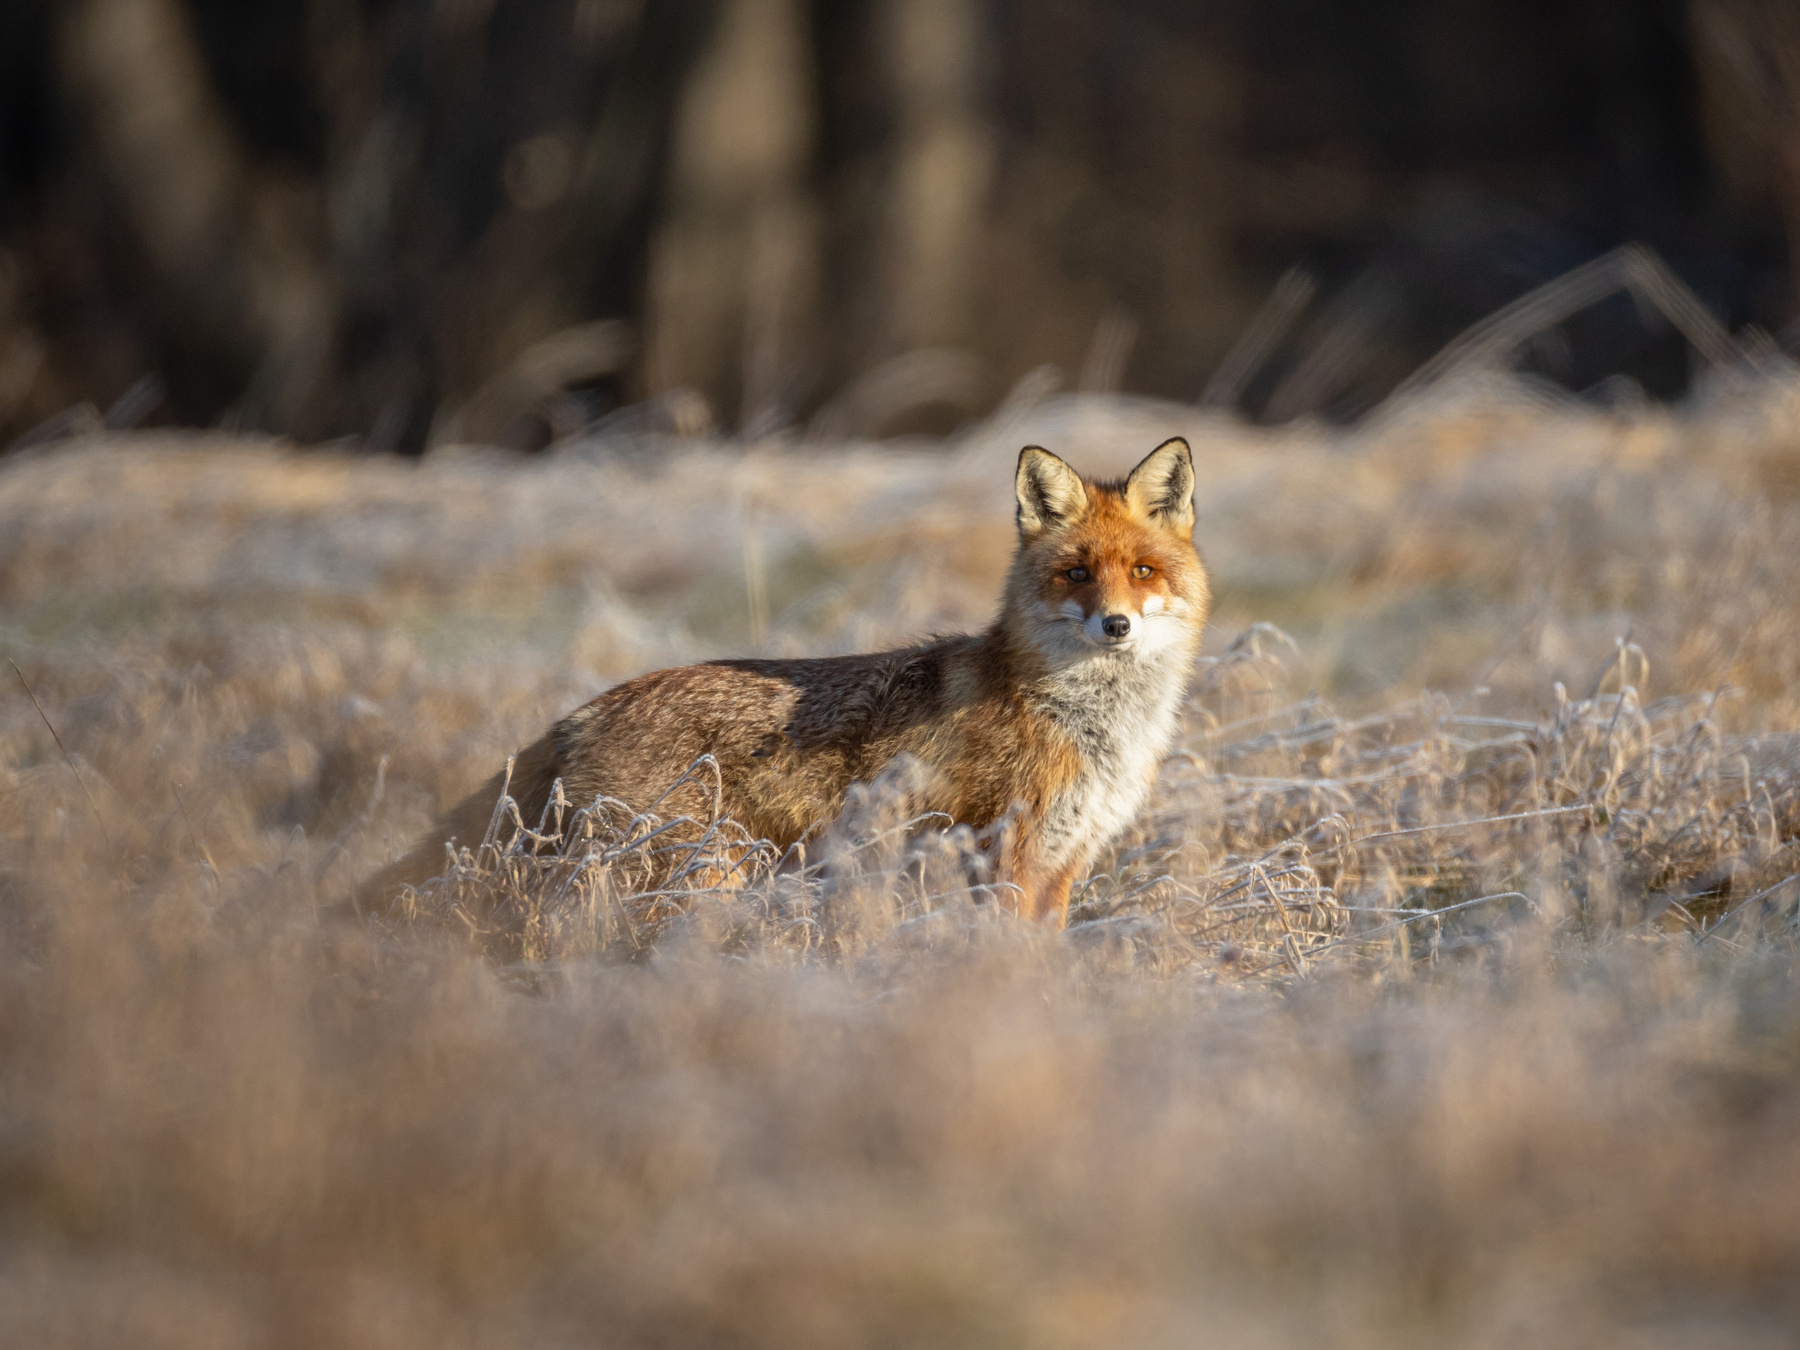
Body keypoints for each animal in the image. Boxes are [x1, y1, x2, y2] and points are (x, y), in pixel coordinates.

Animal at [358, 436, 1210, 928]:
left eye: (1142, 571)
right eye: (1076, 574)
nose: (1116, 627)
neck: (1086, 723)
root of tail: (589, 707)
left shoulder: (1061, 864)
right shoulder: (1001, 855)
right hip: (684, 881)